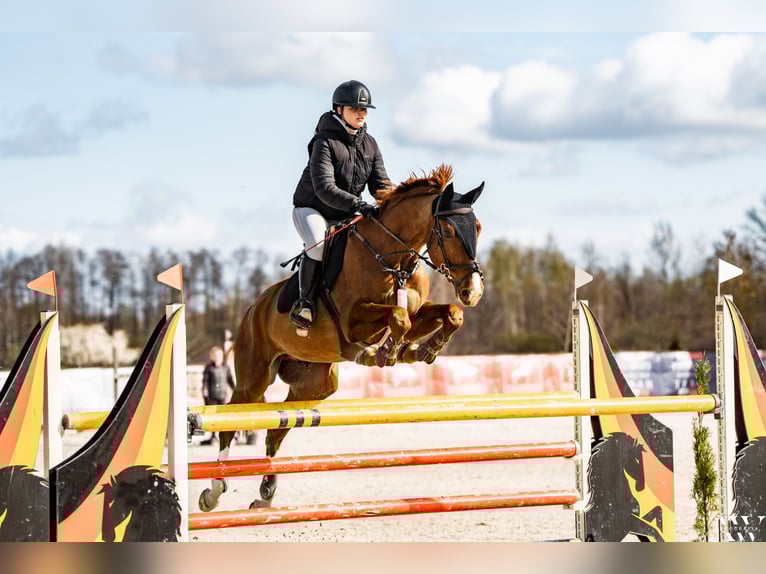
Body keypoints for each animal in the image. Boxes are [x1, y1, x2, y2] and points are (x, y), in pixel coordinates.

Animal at [199, 164, 485, 512]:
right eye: (448, 231)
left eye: (478, 228)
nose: (473, 291)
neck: (393, 259)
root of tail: (254, 308)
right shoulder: (354, 322)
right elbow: (398, 318)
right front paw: (386, 353)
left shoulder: (417, 311)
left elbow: (449, 314)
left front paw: (422, 350)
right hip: (253, 379)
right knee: (229, 423)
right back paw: (213, 491)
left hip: (314, 385)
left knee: (276, 430)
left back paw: (266, 494)